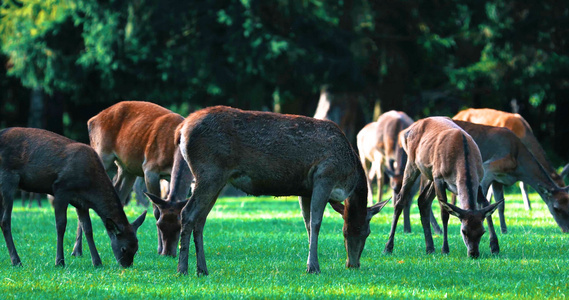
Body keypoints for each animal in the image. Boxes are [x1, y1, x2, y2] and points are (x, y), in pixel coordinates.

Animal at [0, 126, 148, 268]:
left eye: (136, 248)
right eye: (124, 248)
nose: (126, 265)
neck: (90, 187)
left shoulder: (81, 203)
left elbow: (88, 228)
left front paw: (97, 262)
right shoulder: (61, 189)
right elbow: (61, 225)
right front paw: (59, 261)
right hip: (8, 179)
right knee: (5, 220)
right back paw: (16, 261)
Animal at [75, 101, 193, 258]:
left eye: (179, 227)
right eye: (159, 225)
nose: (168, 253)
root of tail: (91, 120)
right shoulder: (150, 169)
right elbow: (156, 210)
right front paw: (159, 249)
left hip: (126, 168)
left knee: (118, 193)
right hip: (101, 152)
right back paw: (77, 250)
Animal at [164, 105, 386, 274]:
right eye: (365, 231)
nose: (353, 264)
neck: (349, 178)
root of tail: (181, 130)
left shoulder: (306, 189)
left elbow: (307, 223)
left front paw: (310, 262)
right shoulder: (325, 176)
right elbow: (316, 223)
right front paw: (313, 267)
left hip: (217, 179)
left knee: (201, 219)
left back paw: (202, 269)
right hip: (209, 172)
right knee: (188, 213)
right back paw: (182, 269)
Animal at [382, 117, 502, 258]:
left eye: (482, 231)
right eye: (464, 231)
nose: (473, 253)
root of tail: (407, 130)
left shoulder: (478, 179)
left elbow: (485, 204)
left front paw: (495, 247)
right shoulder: (439, 178)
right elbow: (445, 213)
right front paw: (445, 249)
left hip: (430, 174)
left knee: (422, 200)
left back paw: (430, 248)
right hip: (413, 164)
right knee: (401, 199)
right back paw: (388, 247)